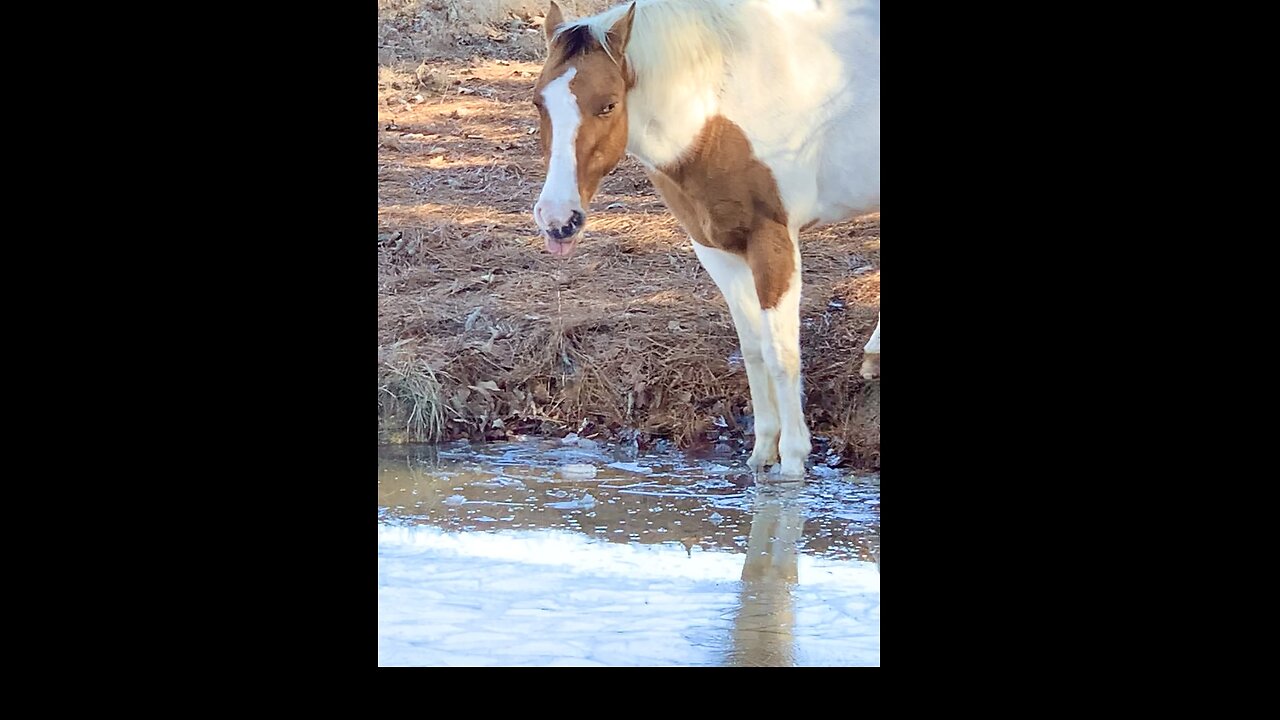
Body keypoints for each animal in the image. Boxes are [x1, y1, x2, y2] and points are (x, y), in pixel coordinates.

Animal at [529, 1, 880, 476]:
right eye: (538, 102)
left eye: (608, 105)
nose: (557, 218)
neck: (719, 109)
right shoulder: (716, 248)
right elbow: (753, 349)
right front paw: (761, 455)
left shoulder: (773, 241)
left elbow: (782, 354)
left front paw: (792, 464)